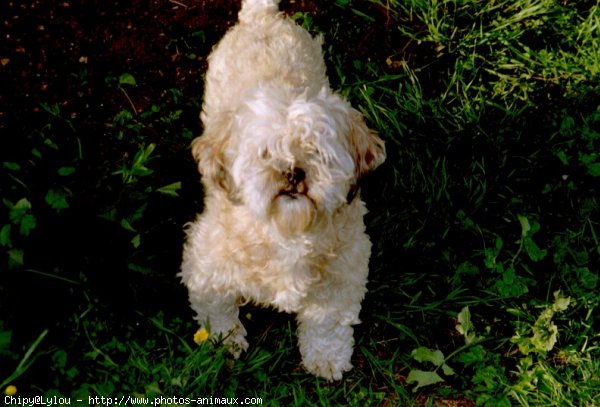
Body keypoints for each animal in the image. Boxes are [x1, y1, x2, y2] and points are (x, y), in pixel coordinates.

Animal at [179, 0, 384, 382]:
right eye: (265, 152)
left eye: (316, 150)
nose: (292, 172)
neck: (287, 232)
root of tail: (262, 16)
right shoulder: (205, 263)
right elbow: (216, 307)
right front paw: (224, 341)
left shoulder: (343, 273)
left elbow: (327, 323)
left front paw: (326, 358)